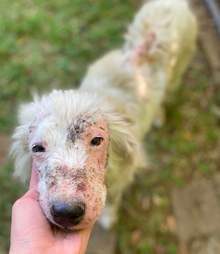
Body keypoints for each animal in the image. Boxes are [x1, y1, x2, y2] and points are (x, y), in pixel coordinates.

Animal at [9, 0, 198, 230]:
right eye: (37, 148)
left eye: (97, 140)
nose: (66, 212)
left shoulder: (121, 175)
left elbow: (113, 199)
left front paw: (108, 218)